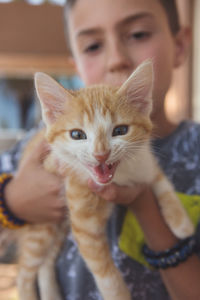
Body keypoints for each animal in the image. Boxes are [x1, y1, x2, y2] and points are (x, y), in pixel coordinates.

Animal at [16, 61, 194, 300]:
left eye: (120, 130)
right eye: (77, 134)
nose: (101, 154)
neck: (120, 176)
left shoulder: (144, 162)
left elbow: (161, 181)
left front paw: (181, 222)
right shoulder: (82, 215)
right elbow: (105, 274)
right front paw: (119, 294)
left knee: (46, 262)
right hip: (41, 224)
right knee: (26, 271)